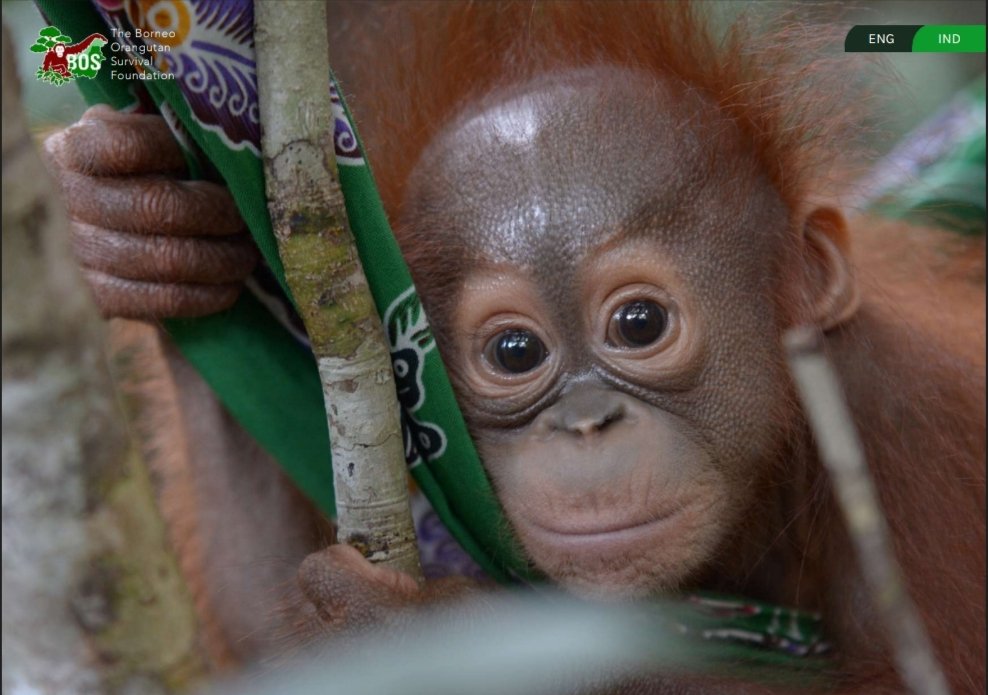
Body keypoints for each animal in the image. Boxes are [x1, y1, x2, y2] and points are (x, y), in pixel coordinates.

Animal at [42, 2, 985, 692]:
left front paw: (432, 634)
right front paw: (133, 222)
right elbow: (257, 638)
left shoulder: (902, 422)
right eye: (515, 352)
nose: (587, 425)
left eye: (639, 325)